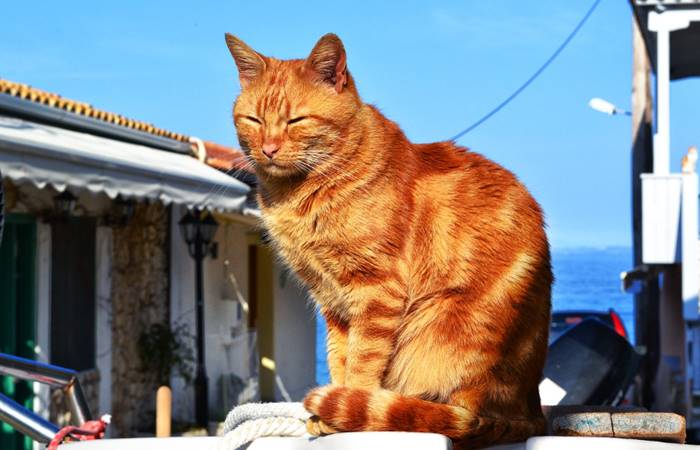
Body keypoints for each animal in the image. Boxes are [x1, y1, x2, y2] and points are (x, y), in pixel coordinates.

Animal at [224, 32, 552, 450]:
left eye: (297, 120)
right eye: (254, 120)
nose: (268, 148)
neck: (301, 194)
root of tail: (532, 412)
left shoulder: (376, 289)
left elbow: (362, 360)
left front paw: (345, 411)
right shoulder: (332, 302)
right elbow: (339, 358)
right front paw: (329, 411)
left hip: (446, 332)